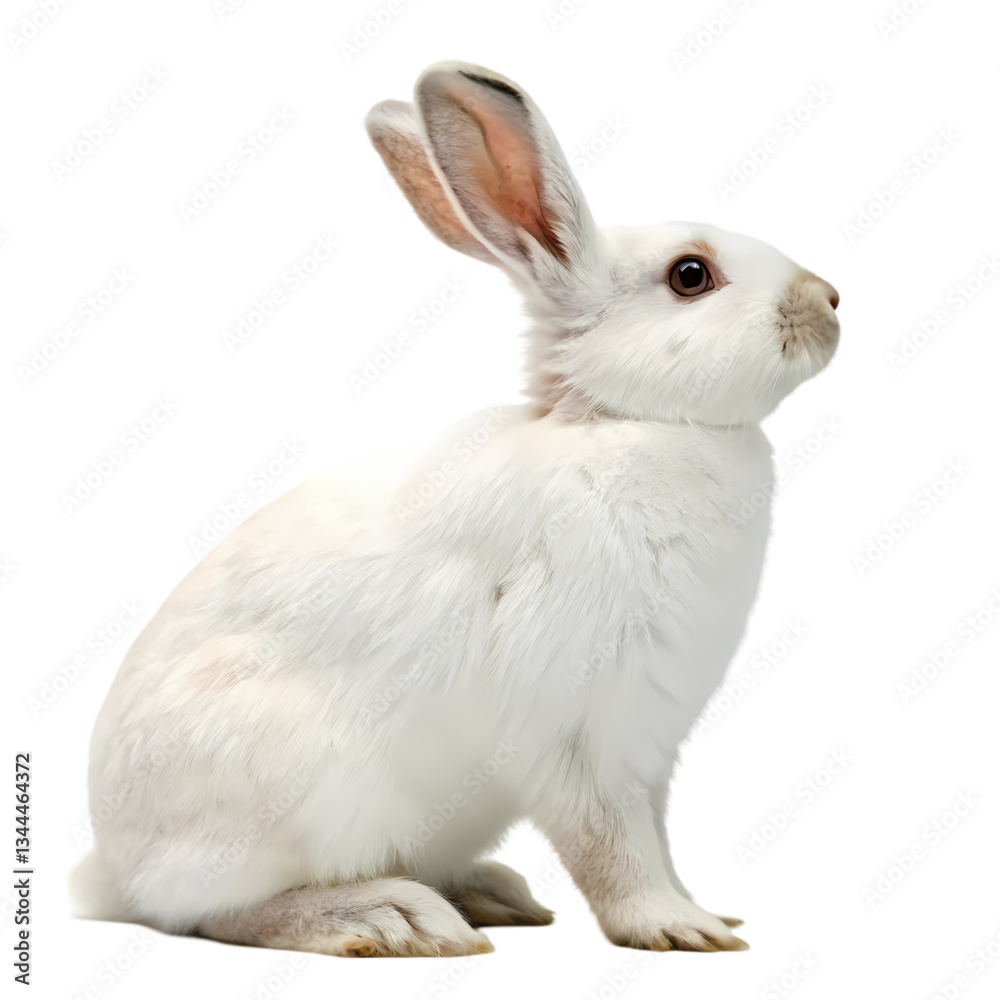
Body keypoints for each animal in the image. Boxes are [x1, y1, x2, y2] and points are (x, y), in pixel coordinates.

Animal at [72, 61, 839, 958]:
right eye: (692, 276)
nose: (830, 299)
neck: (625, 424)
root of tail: (111, 869)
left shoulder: (648, 742)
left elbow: (653, 834)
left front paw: (705, 910)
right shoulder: (579, 721)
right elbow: (612, 844)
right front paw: (677, 928)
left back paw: (490, 893)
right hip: (294, 797)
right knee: (212, 913)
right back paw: (390, 919)